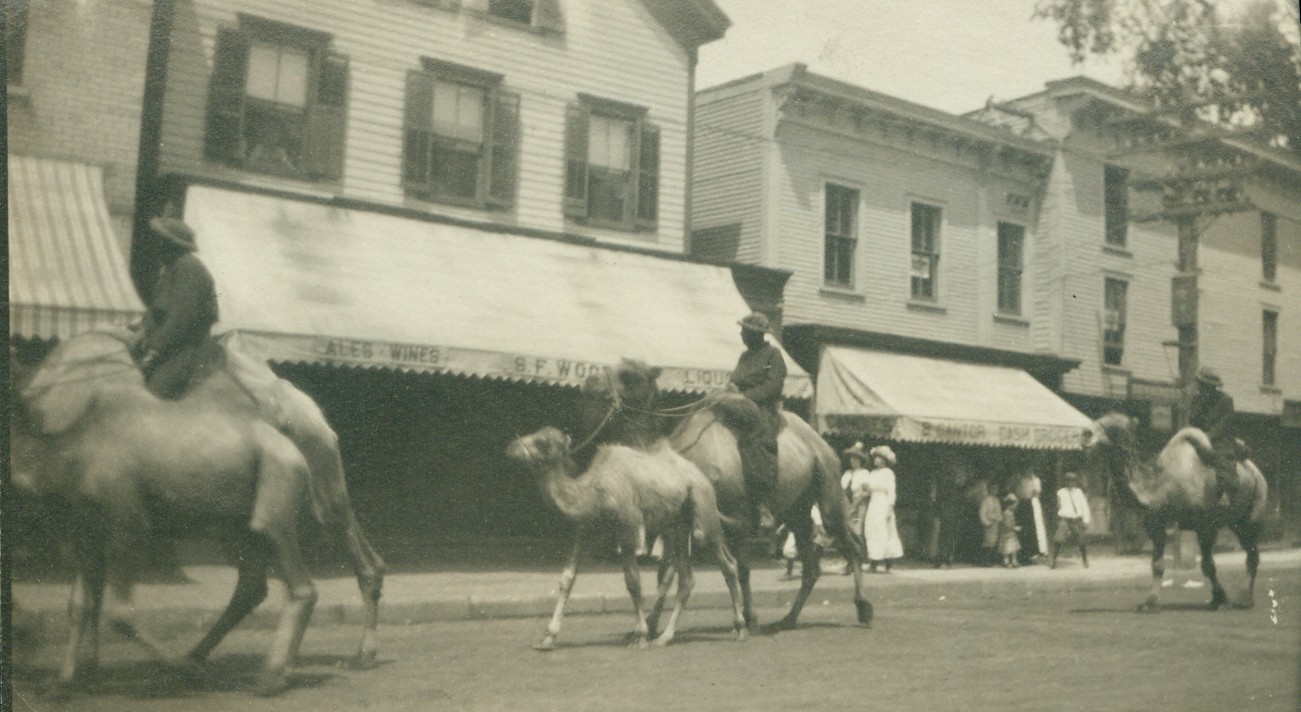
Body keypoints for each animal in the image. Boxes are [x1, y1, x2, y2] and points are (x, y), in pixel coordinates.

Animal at [577, 360, 871, 631]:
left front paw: (747, 619)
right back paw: (787, 619)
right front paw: (650, 624)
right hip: (796, 509)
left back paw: (863, 608)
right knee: (811, 565)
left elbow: (739, 569)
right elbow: (668, 571)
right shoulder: (684, 521)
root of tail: (822, 443)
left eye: (629, 375)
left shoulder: (737, 515)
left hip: (827, 484)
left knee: (850, 542)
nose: (590, 382)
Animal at [1090, 413, 1268, 611]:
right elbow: (1157, 564)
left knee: (1252, 554)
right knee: (1250, 551)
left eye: (1113, 429)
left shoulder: (1206, 524)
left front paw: (1220, 599)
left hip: (1254, 508)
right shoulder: (1156, 524)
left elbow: (1208, 565)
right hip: (1236, 521)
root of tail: (1256, 472)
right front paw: (1150, 603)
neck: (1163, 486)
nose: (1085, 435)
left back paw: (1243, 600)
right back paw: (1246, 598)